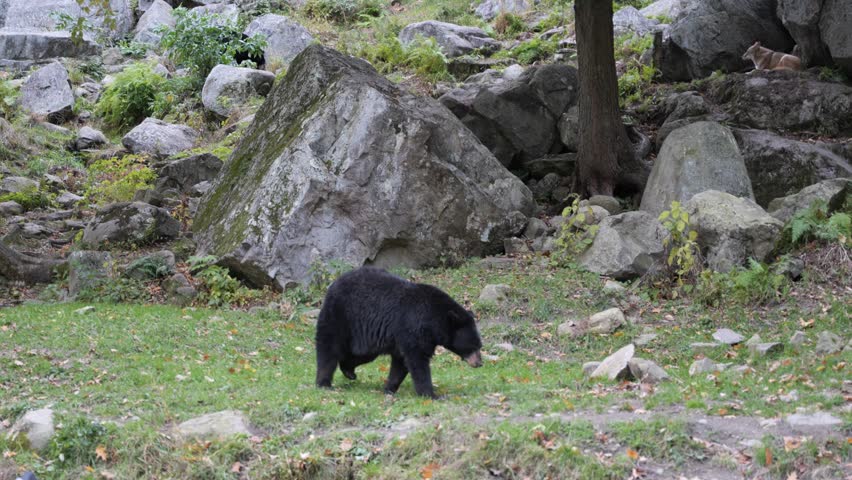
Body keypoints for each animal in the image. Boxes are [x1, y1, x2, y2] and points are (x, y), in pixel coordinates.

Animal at [314, 266, 483, 398]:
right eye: (473, 346)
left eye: (480, 346)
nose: (479, 363)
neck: (434, 319)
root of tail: (333, 284)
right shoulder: (413, 326)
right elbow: (417, 360)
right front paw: (431, 394)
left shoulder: (405, 335)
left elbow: (400, 362)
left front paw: (389, 388)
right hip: (341, 316)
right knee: (329, 347)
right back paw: (323, 382)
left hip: (363, 335)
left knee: (361, 354)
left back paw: (348, 370)